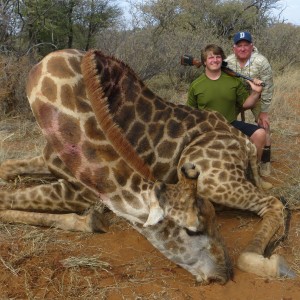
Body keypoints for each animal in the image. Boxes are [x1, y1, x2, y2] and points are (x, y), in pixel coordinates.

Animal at [0, 48, 296, 284]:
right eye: (191, 229)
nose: (223, 275)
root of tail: (244, 143)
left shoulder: (82, 190)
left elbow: (5, 198)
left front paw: (90, 220)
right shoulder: (50, 162)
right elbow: (6, 171)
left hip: (213, 180)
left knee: (274, 203)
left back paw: (269, 263)